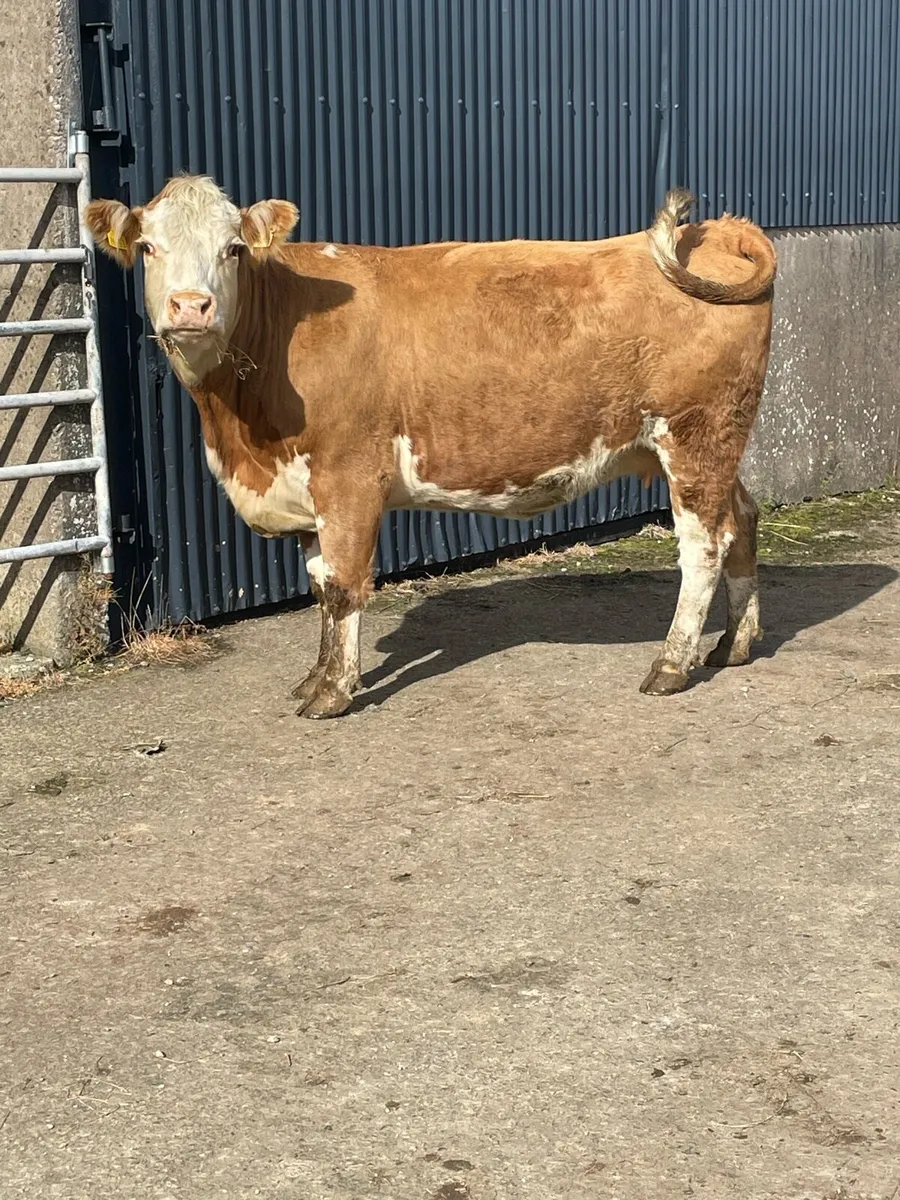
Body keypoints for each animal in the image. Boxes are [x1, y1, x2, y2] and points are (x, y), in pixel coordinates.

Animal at [87, 176, 776, 718]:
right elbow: (318, 586)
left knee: (703, 548)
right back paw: (734, 645)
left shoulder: (348, 476)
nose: (190, 306)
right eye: (147, 247)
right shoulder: (306, 492)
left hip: (694, 436)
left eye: (232, 249)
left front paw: (333, 693)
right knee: (743, 518)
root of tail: (720, 229)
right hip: (716, 444)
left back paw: (672, 665)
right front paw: (314, 677)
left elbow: (343, 586)